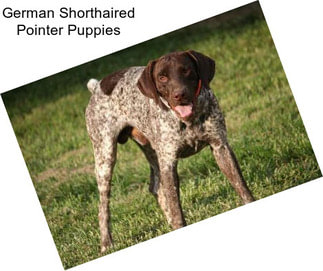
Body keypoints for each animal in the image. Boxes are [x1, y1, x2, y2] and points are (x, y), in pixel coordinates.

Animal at [86, 50, 256, 254]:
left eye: (186, 70)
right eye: (162, 77)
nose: (179, 95)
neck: (188, 120)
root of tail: (97, 86)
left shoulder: (220, 147)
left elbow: (241, 186)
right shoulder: (169, 163)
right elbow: (176, 207)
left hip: (152, 154)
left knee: (155, 187)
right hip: (105, 157)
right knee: (103, 206)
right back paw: (106, 243)